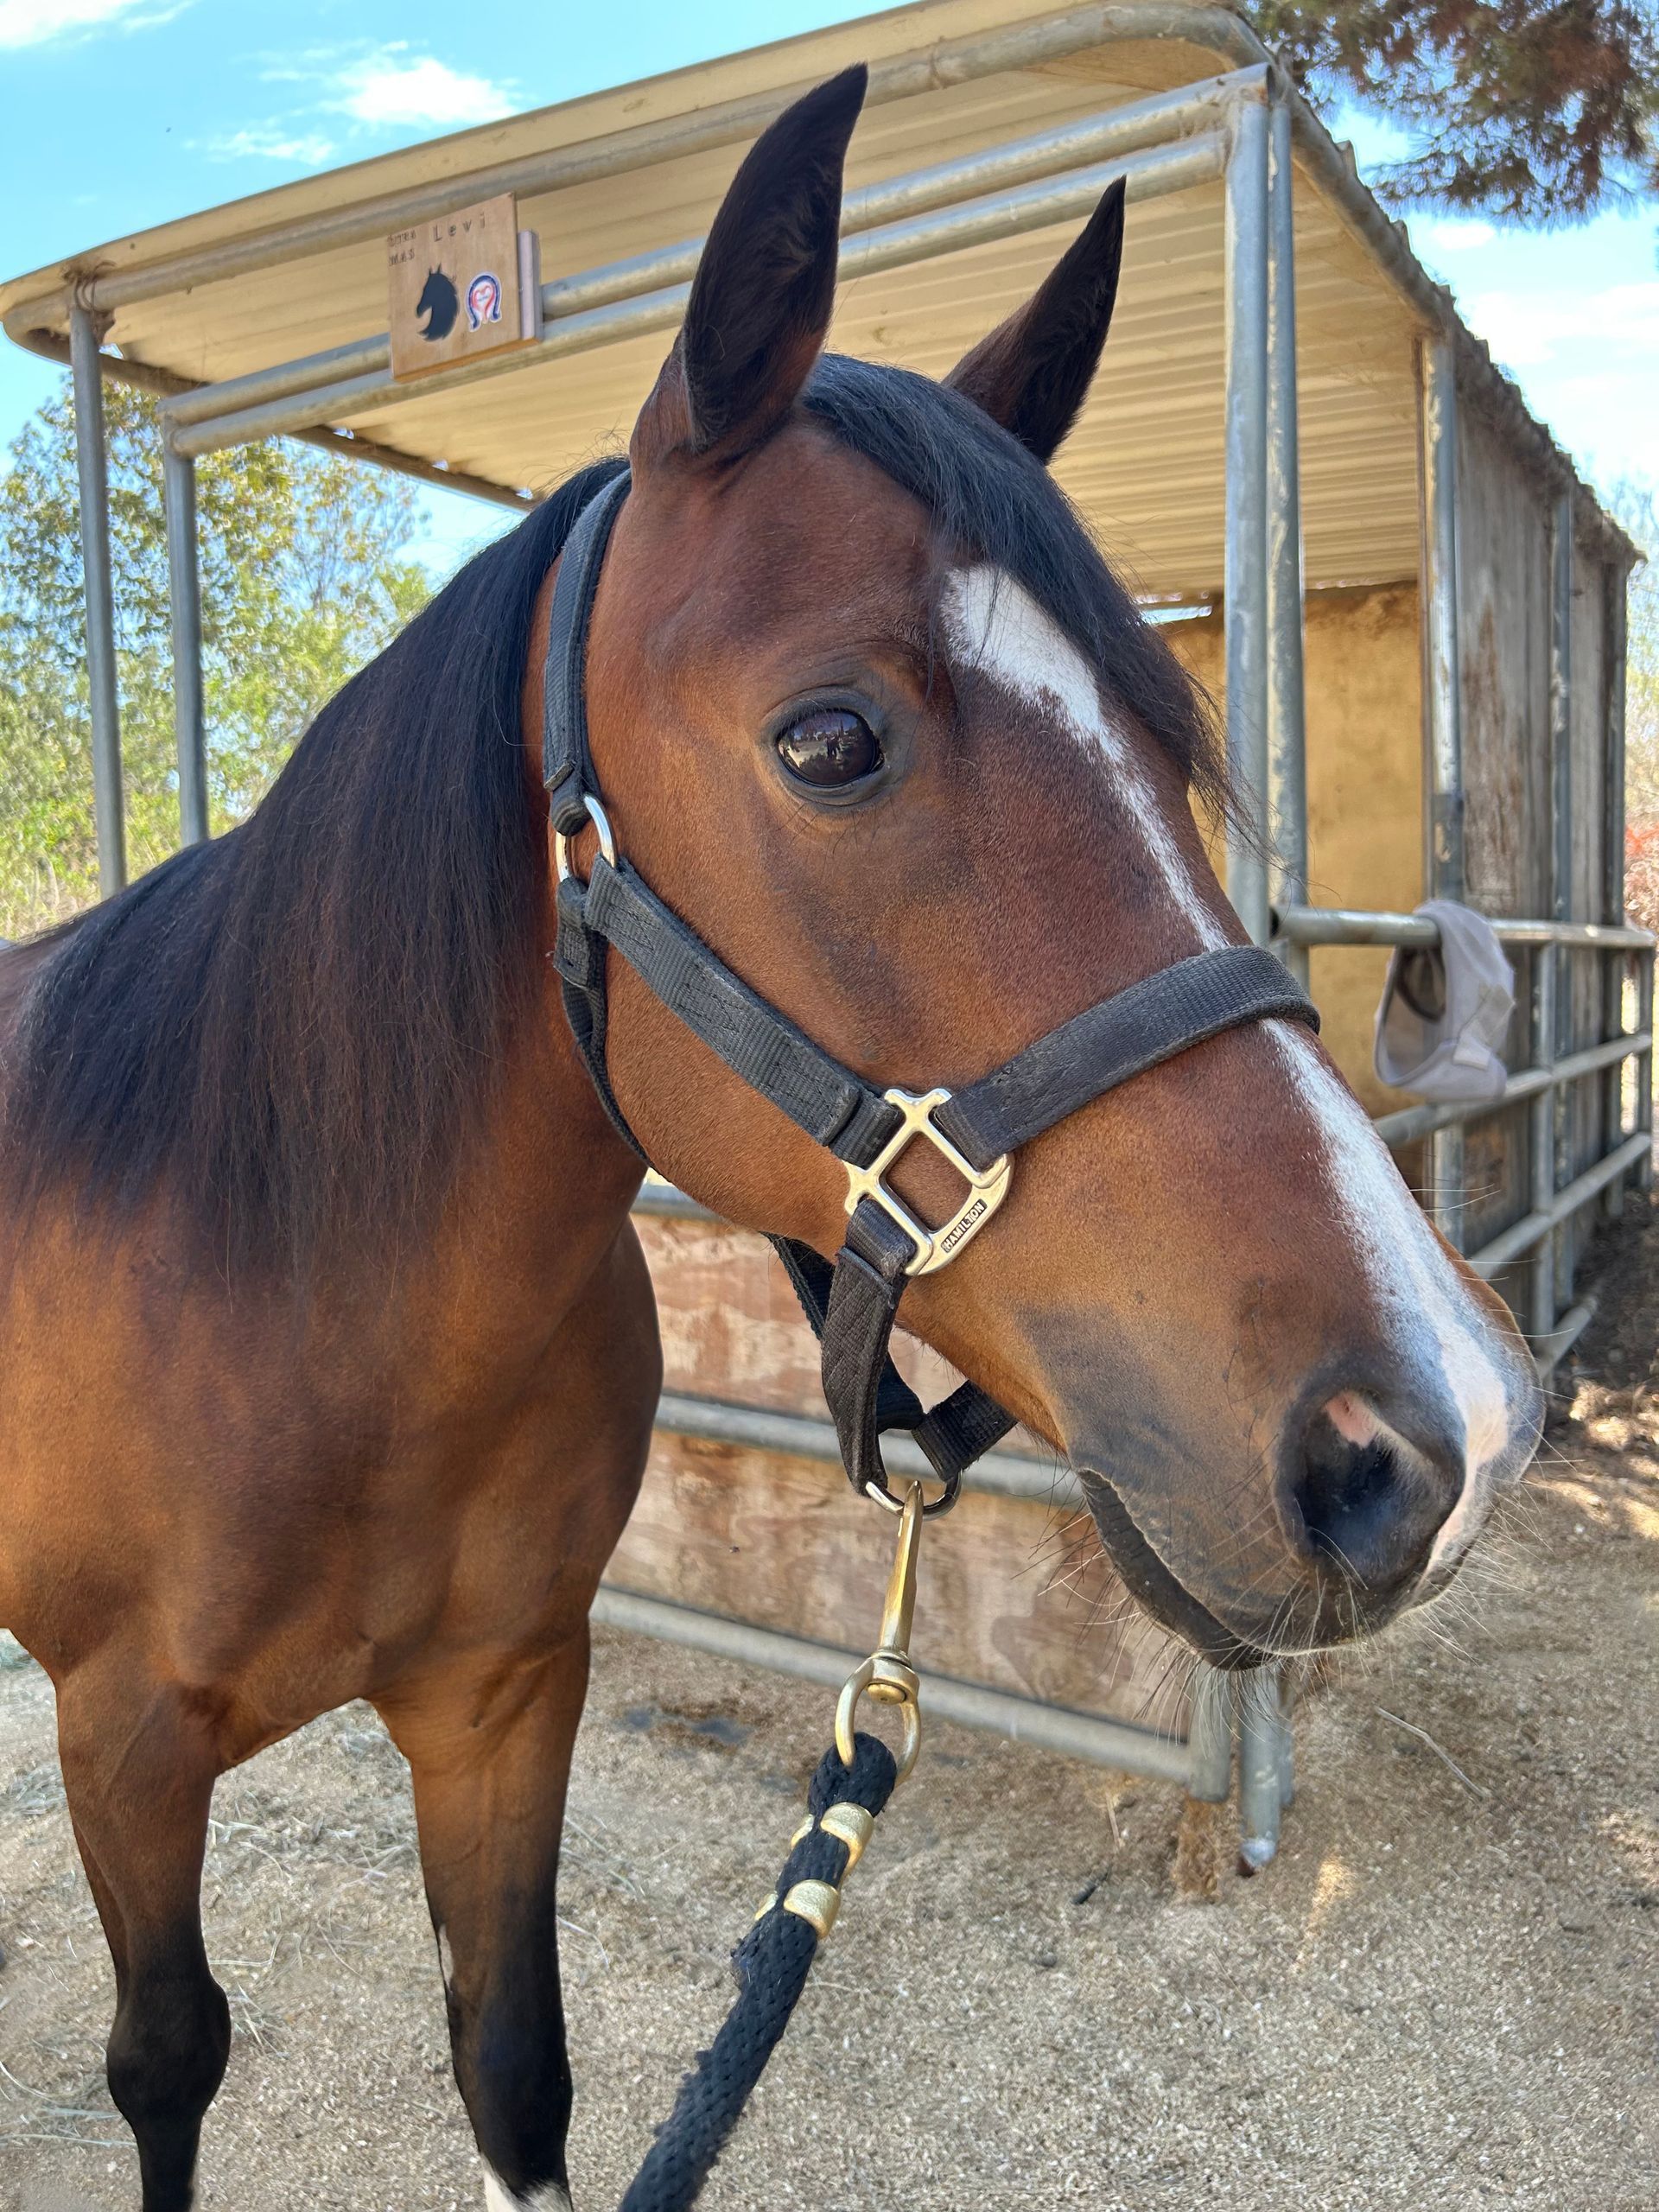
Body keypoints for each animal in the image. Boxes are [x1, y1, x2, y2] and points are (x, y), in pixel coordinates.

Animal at [0, 65, 1540, 2212]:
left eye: (1169, 736)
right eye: (830, 740)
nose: (1442, 1433)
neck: (294, 1305)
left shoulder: (504, 1699)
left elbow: (516, 2063)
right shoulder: (123, 1753)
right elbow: (164, 2066)